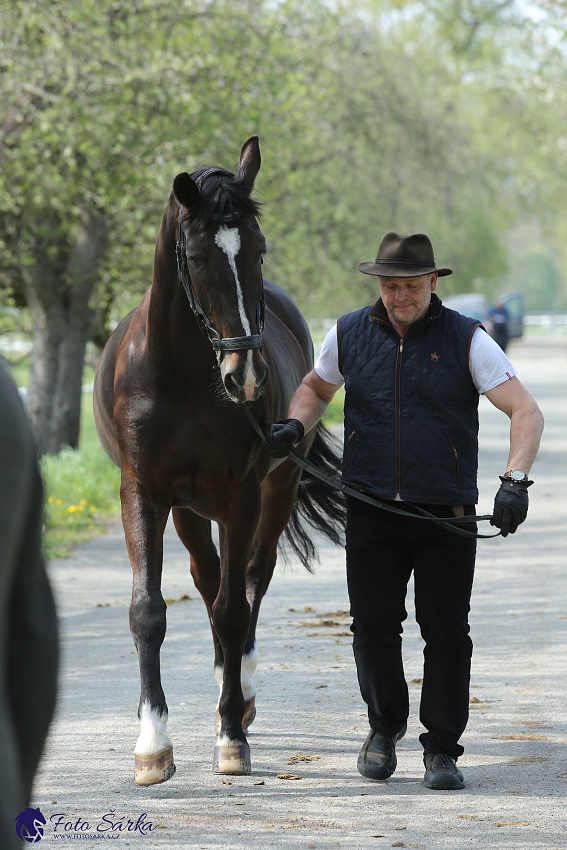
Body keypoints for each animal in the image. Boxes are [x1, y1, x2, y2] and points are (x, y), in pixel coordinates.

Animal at [93, 134, 344, 780]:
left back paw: (242, 692)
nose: (245, 377)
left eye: (259, 250)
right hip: (188, 510)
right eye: (199, 257)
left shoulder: (240, 494)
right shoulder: (145, 494)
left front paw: (232, 734)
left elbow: (236, 608)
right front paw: (152, 743)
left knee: (250, 582)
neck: (183, 375)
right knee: (208, 582)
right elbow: (148, 611)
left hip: (274, 492)